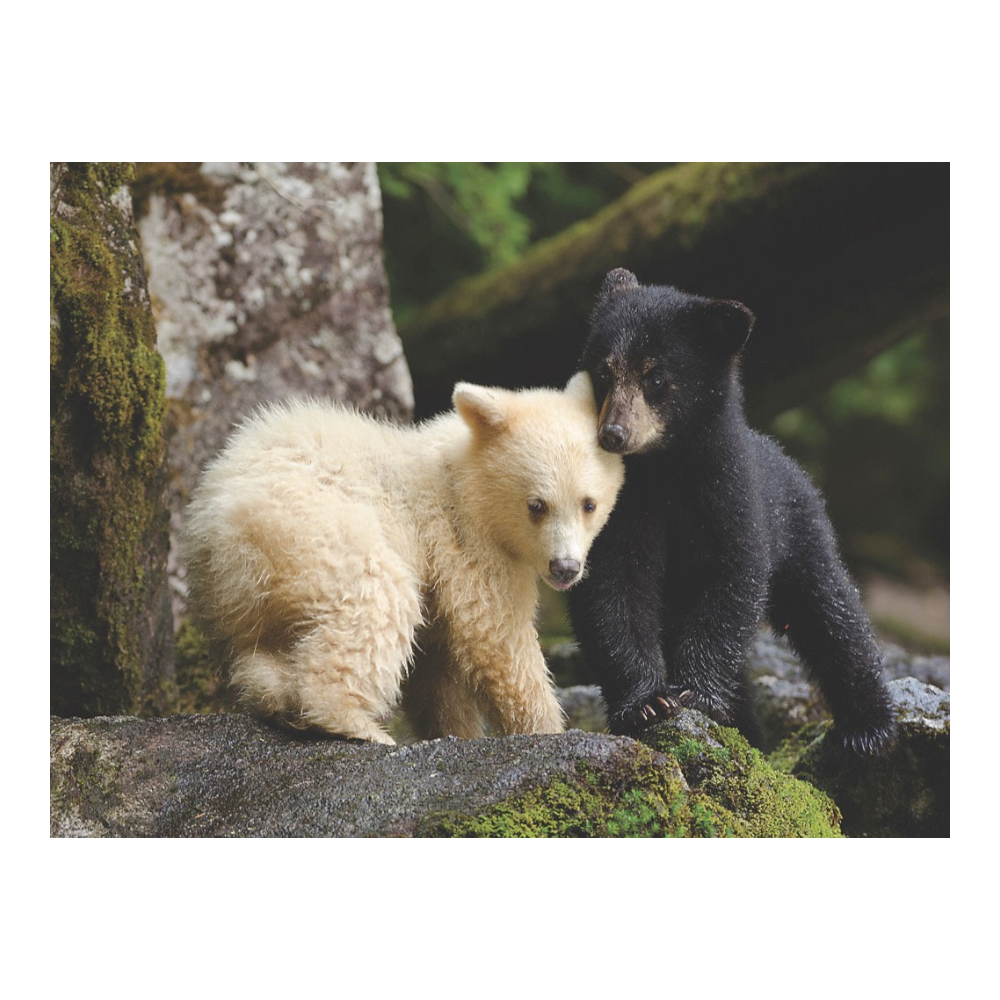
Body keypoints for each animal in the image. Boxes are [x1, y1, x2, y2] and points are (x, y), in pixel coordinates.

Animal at [183, 372, 624, 745]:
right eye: (537, 505)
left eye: (588, 503)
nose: (565, 568)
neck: (464, 480)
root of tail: (211, 526)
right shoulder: (465, 541)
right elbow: (496, 636)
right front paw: (546, 728)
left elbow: (437, 671)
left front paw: (455, 731)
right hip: (310, 529)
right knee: (378, 598)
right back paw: (354, 723)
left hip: (248, 595)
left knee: (260, 649)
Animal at [567, 268, 897, 756]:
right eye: (603, 372)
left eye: (657, 378)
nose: (613, 434)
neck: (665, 469)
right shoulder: (617, 507)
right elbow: (612, 586)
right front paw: (648, 703)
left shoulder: (730, 493)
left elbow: (730, 577)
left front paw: (696, 694)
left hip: (801, 530)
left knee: (832, 612)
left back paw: (867, 727)